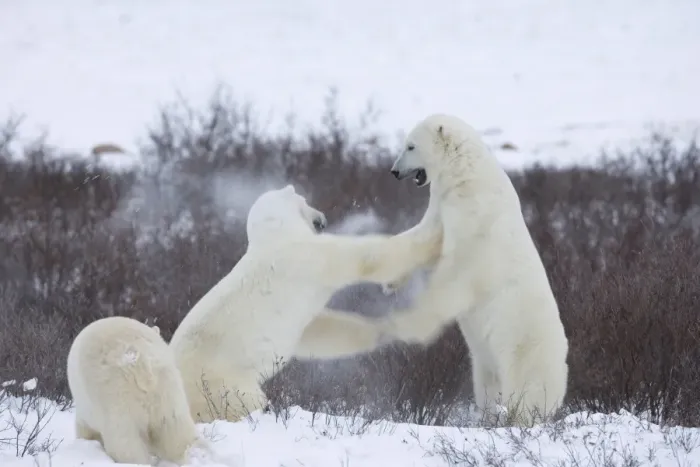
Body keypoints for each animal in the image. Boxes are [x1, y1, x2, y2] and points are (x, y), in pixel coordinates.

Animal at [169, 184, 442, 423]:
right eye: (305, 199)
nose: (322, 218)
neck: (275, 236)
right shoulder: (310, 257)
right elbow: (367, 258)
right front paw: (434, 237)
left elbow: (317, 331)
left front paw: (385, 329)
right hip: (222, 385)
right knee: (244, 403)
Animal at [381, 113, 569, 426]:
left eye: (410, 146)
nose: (394, 172)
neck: (465, 175)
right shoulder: (443, 204)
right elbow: (426, 236)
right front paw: (388, 280)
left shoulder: (475, 213)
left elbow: (460, 264)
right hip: (482, 361)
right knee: (486, 384)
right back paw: (487, 416)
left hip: (523, 345)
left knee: (525, 389)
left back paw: (518, 418)